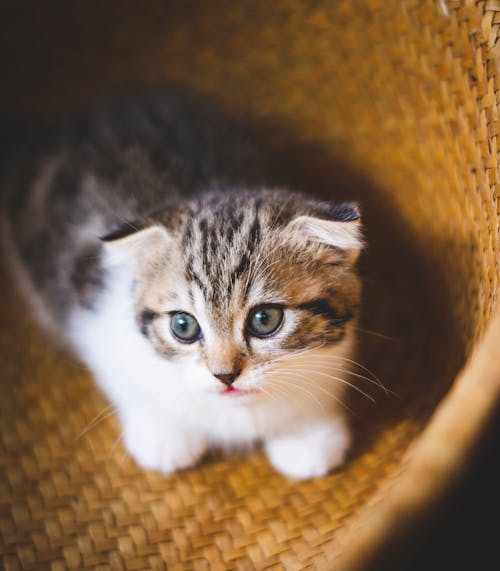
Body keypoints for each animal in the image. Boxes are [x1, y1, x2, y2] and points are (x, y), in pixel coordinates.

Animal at [2, 92, 364, 478]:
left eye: (265, 319)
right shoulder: (96, 320)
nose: (225, 376)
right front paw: (164, 435)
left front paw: (306, 433)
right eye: (183, 326)